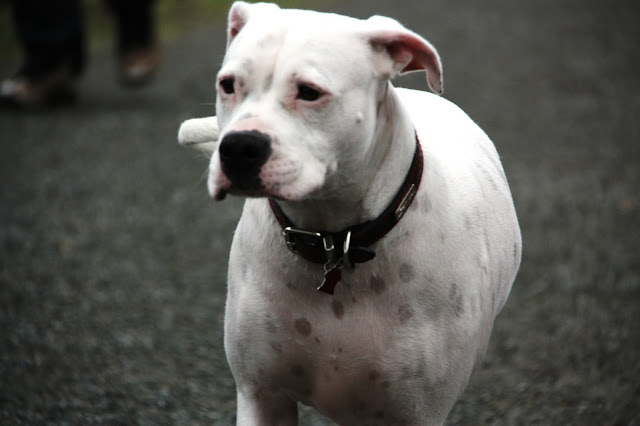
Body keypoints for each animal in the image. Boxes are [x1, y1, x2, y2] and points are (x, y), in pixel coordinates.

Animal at [178, 2, 521, 424]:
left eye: (310, 92)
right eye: (228, 85)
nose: (239, 146)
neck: (335, 240)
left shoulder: (418, 412)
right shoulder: (261, 395)